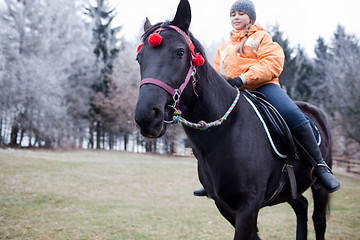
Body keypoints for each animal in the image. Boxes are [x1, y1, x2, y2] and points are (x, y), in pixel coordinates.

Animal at [134, 0, 332, 239]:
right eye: (139, 58)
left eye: (180, 52)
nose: (147, 116)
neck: (225, 133)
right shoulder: (226, 208)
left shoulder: (248, 207)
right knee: (301, 205)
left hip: (319, 187)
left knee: (318, 219)